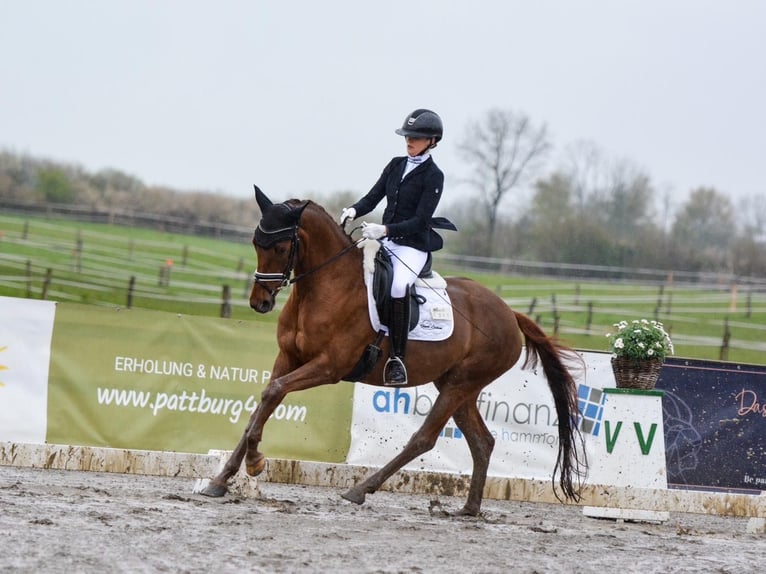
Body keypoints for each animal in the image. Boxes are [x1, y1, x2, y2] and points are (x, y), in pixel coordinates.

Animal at [200, 189, 588, 516]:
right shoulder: (288, 359)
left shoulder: (328, 367)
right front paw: (222, 479)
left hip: (461, 383)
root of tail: (510, 313)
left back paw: (360, 490)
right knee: (483, 442)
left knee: (424, 439)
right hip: (458, 385)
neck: (325, 286)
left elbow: (273, 393)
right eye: (256, 242)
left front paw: (255, 462)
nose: (260, 303)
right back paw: (468, 509)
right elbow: (264, 402)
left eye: (281, 248)